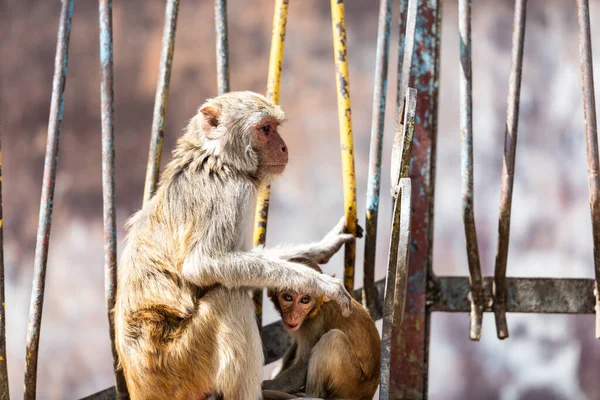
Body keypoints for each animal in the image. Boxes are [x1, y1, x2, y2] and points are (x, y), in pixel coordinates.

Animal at [114, 91, 354, 400]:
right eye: (265, 129)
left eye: (275, 127)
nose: (284, 147)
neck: (217, 158)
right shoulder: (233, 193)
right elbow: (204, 265)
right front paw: (320, 284)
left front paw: (320, 248)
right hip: (179, 366)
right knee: (230, 298)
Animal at [264, 260, 382, 398]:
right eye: (288, 297)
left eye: (305, 300)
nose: (293, 316)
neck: (317, 308)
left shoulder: (313, 325)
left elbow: (303, 366)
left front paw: (263, 386)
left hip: (352, 386)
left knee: (332, 338)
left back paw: (310, 395)